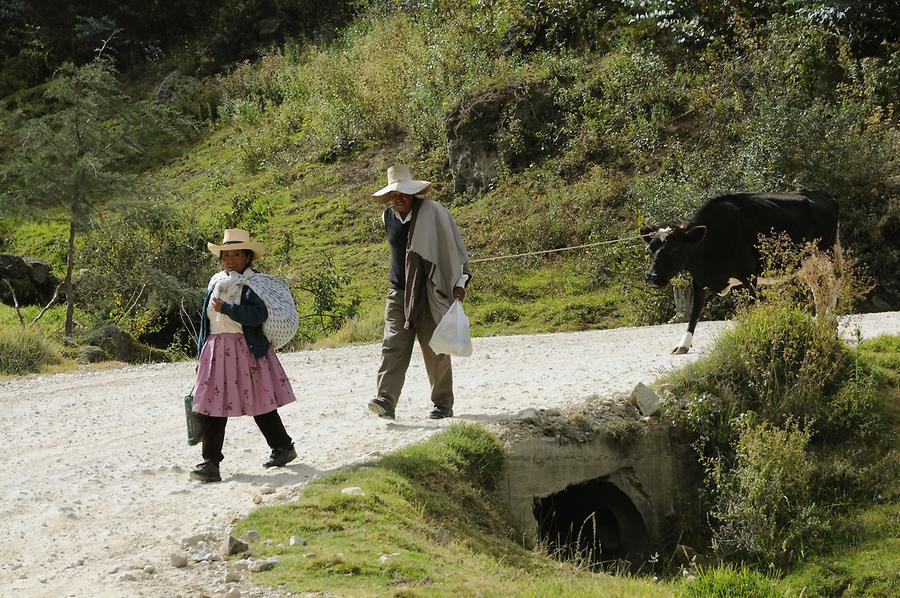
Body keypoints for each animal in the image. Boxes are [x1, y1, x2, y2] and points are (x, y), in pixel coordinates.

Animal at [640, 190, 836, 354]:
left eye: (675, 248)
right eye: (652, 247)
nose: (652, 277)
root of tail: (822, 195)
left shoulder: (749, 278)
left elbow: (750, 309)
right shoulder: (698, 279)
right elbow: (695, 311)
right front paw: (683, 345)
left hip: (827, 256)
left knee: (833, 286)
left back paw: (830, 322)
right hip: (807, 265)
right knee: (819, 291)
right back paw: (820, 323)